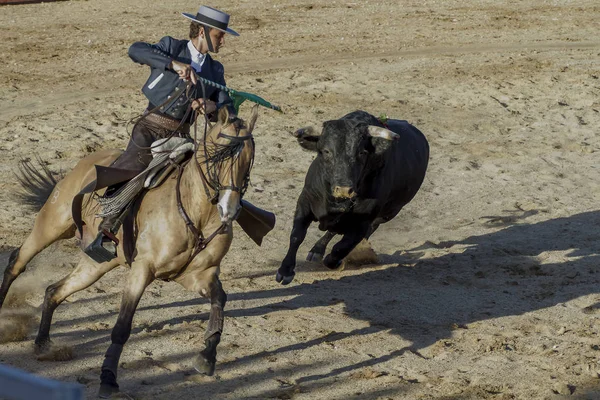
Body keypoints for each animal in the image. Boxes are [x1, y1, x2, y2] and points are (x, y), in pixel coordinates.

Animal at [0, 105, 258, 396]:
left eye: (249, 158)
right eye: (218, 153)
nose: (229, 209)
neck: (197, 213)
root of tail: (84, 164)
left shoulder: (199, 276)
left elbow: (219, 301)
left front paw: (207, 358)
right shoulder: (142, 270)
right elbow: (122, 327)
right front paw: (108, 380)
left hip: (96, 265)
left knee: (55, 290)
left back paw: (43, 342)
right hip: (51, 225)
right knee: (17, 261)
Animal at [274, 109, 428, 284]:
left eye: (361, 152)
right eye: (326, 151)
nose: (343, 189)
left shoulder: (363, 221)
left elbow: (342, 247)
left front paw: (335, 260)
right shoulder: (305, 201)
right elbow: (296, 236)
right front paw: (285, 270)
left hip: (389, 213)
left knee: (365, 231)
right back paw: (317, 250)